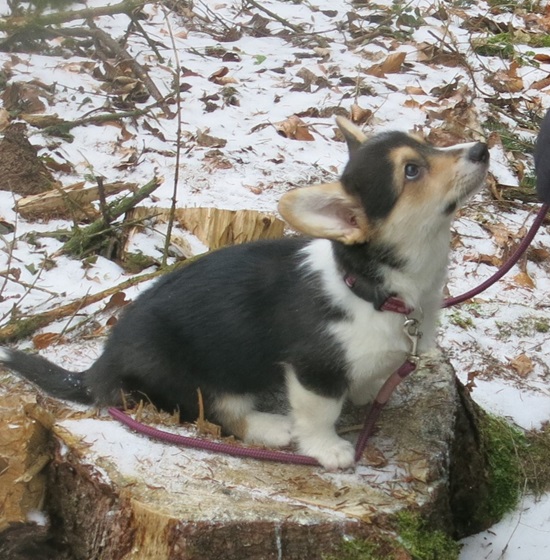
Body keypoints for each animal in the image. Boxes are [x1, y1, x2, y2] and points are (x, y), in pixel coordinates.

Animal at [0, 118, 492, 468]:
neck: (370, 288)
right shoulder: (313, 369)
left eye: (426, 144)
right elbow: (320, 412)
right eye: (412, 170)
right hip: (194, 375)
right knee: (218, 412)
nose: (482, 149)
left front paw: (369, 392)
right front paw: (329, 449)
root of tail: (102, 366)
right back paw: (272, 427)